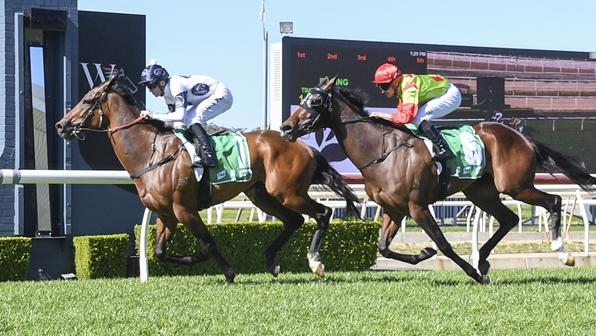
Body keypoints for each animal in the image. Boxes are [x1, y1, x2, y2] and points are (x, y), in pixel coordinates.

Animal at [54, 76, 358, 284]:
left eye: (87, 100)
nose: (61, 124)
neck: (151, 153)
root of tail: (302, 144)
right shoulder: (166, 214)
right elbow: (160, 252)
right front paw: (195, 259)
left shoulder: (184, 209)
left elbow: (208, 242)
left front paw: (229, 272)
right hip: (262, 194)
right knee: (294, 221)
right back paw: (272, 262)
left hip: (288, 192)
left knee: (323, 213)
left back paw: (315, 262)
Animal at [280, 76, 596, 284]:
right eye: (304, 98)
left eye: (315, 101)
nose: (286, 127)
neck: (382, 151)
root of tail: (521, 137)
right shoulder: (393, 208)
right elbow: (383, 248)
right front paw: (424, 252)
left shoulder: (417, 206)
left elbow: (444, 244)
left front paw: (471, 273)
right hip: (481, 192)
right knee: (509, 218)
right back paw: (483, 259)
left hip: (515, 186)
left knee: (553, 201)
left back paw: (561, 253)